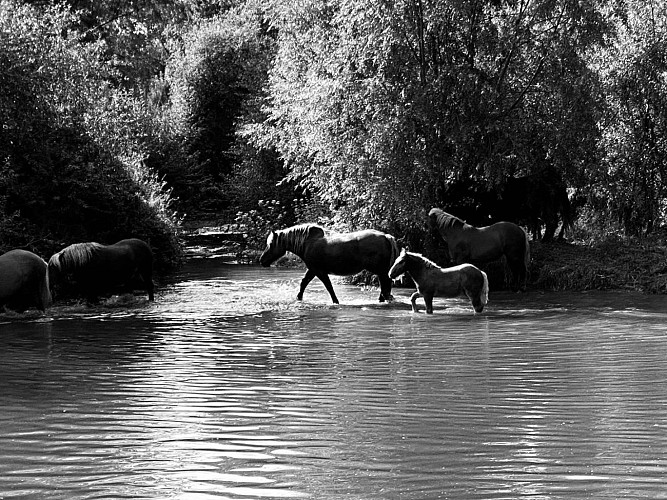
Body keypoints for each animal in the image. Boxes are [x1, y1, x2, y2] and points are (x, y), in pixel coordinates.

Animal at [258, 224, 400, 302]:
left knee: (385, 285)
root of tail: (386, 236)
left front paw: (336, 302)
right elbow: (303, 284)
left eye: (271, 244)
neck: (308, 243)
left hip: (380, 271)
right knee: (385, 286)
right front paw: (298, 298)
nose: (262, 260)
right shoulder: (312, 270)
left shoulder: (319, 271)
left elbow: (329, 287)